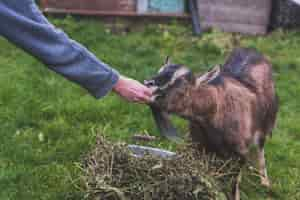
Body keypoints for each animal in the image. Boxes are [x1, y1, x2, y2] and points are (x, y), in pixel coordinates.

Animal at [145, 47, 278, 199]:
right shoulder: (199, 147)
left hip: (266, 122)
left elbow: (234, 184)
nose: (148, 84)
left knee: (260, 149)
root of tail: (253, 50)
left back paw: (265, 182)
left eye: (182, 81)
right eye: (159, 71)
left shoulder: (240, 153)